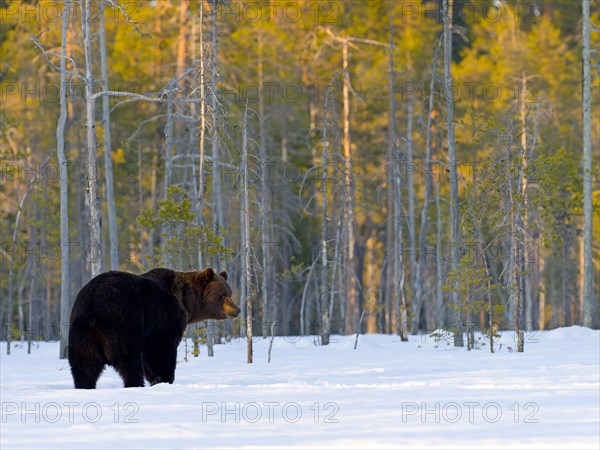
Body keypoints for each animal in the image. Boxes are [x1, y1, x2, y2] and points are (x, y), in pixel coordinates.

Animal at [68, 268, 239, 388]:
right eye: (223, 295)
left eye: (229, 292)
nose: (237, 310)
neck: (185, 304)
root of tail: (93, 307)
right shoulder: (162, 317)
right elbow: (160, 352)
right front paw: (165, 379)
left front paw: (157, 379)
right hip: (122, 323)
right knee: (129, 361)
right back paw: (134, 383)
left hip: (81, 335)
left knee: (84, 367)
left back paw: (85, 385)